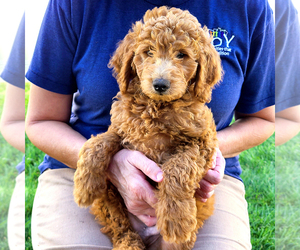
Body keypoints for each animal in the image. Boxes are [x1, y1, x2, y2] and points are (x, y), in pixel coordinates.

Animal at [74, 5, 221, 250]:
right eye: (149, 52)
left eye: (181, 55)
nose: (160, 84)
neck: (157, 107)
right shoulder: (122, 129)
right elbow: (98, 142)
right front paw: (84, 184)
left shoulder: (202, 142)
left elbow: (178, 167)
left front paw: (175, 219)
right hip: (108, 198)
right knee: (121, 227)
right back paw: (128, 243)